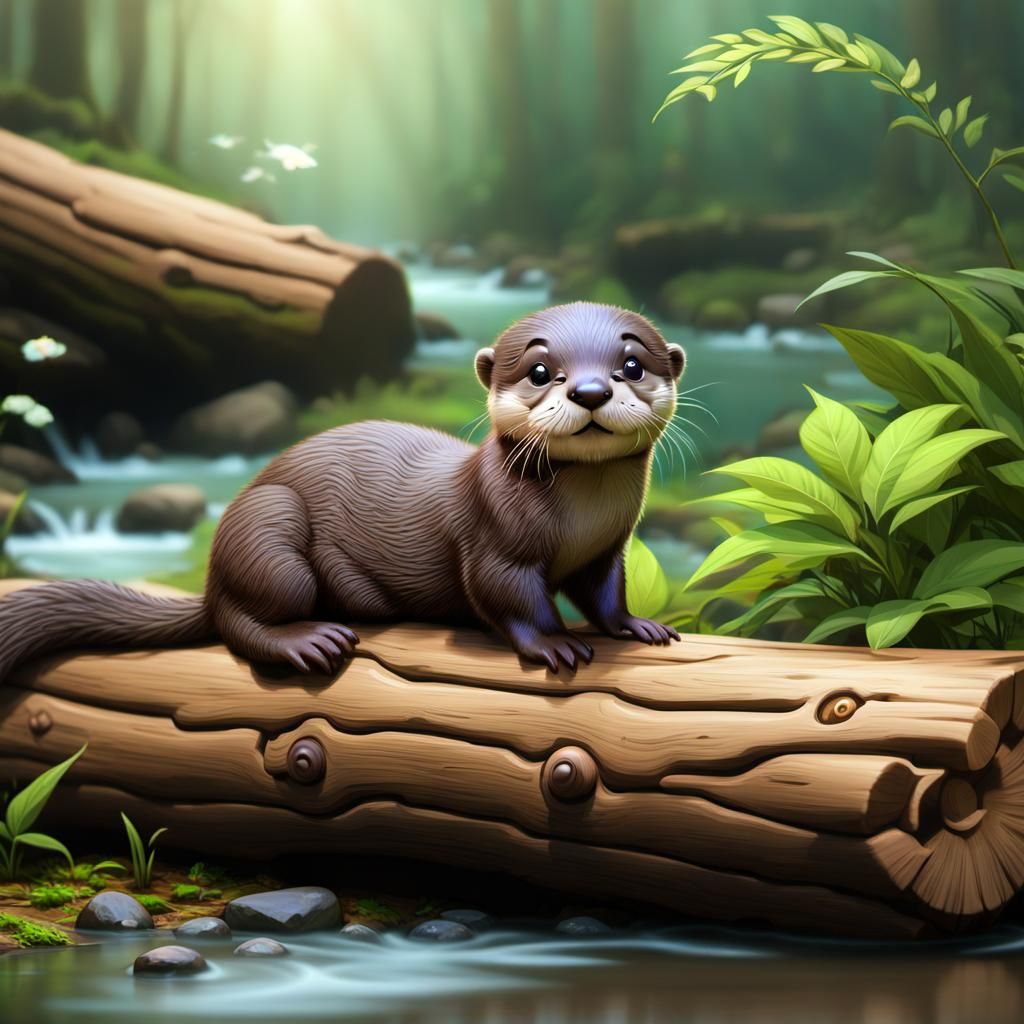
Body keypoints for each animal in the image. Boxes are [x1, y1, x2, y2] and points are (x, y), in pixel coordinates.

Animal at [0, 301, 684, 678]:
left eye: (630, 364)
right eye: (542, 371)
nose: (590, 390)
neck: (582, 519)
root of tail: (214, 569)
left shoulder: (607, 547)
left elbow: (605, 593)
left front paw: (636, 625)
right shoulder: (496, 540)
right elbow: (509, 598)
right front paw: (553, 642)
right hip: (270, 530)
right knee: (237, 622)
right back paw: (305, 639)